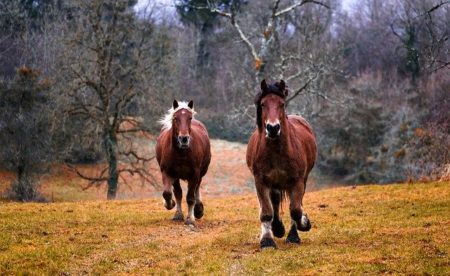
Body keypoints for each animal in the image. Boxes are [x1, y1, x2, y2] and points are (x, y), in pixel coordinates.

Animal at [246, 79, 316, 248]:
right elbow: (266, 212)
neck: (277, 151)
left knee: (294, 203)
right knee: (275, 201)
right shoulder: (261, 181)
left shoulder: (297, 181)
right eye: (263, 104)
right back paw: (277, 228)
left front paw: (300, 228)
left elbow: (296, 210)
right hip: (275, 183)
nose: (273, 128)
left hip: (301, 180)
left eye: (282, 104)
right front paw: (267, 240)